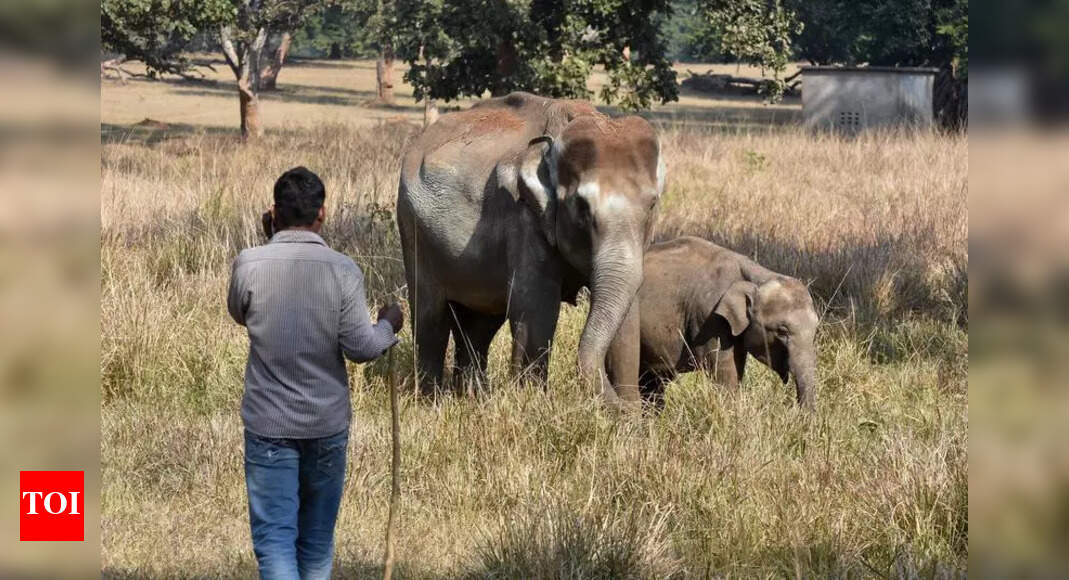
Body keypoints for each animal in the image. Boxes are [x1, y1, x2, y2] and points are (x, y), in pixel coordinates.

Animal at [396, 92, 664, 405]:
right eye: (581, 207)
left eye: (652, 204)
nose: (634, 403)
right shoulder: (524, 217)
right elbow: (536, 308)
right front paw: (533, 403)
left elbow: (629, 317)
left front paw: (631, 413)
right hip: (412, 229)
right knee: (431, 319)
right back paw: (430, 401)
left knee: (478, 326)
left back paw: (473, 398)